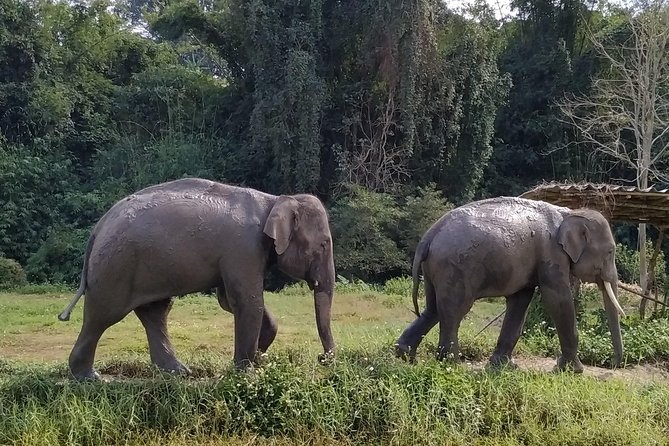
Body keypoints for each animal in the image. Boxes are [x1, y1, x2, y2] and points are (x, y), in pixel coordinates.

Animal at [58, 178, 336, 379]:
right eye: (323, 244)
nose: (323, 359)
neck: (276, 200)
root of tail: (99, 227)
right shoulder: (243, 248)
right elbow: (247, 301)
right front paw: (247, 374)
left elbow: (230, 301)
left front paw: (259, 359)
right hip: (116, 265)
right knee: (102, 315)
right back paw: (89, 377)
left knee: (155, 312)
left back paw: (178, 372)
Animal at [394, 197, 625, 373]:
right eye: (610, 252)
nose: (614, 364)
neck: (568, 213)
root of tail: (429, 235)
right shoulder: (552, 255)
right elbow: (557, 299)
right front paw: (573, 371)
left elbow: (520, 300)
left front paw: (504, 367)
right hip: (454, 268)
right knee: (453, 313)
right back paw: (452, 366)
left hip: (435, 269)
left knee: (433, 309)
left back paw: (404, 355)